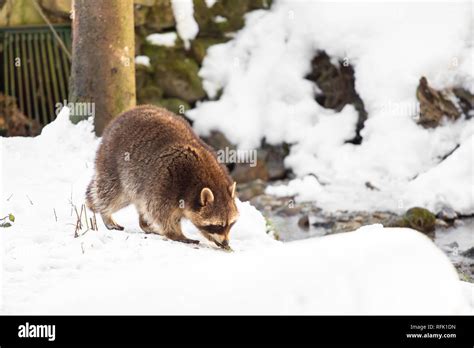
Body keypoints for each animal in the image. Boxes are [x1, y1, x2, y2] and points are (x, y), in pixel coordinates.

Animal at [85, 104, 239, 249]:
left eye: (230, 224)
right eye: (218, 225)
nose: (225, 242)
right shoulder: (165, 181)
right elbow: (160, 213)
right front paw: (176, 234)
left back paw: (145, 224)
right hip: (114, 162)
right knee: (112, 194)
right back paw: (105, 213)